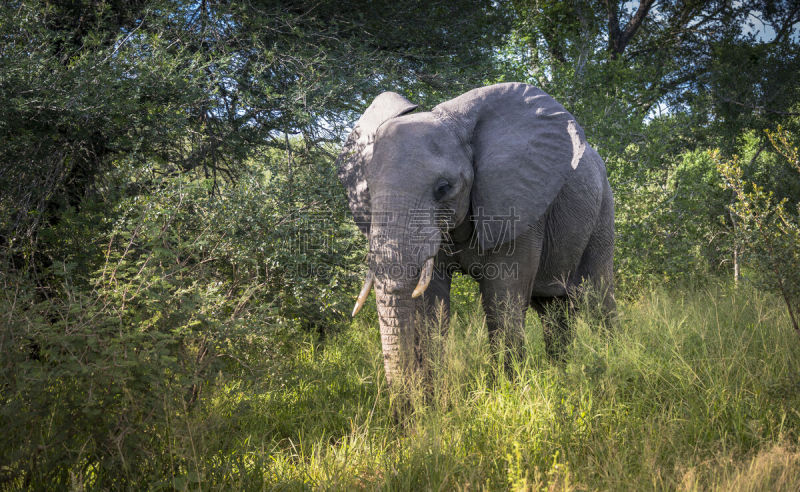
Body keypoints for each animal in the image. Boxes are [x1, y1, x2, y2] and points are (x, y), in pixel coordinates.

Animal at [334, 82, 616, 386]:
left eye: (444, 188)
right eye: (367, 190)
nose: (404, 398)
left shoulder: (517, 204)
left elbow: (502, 300)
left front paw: (507, 390)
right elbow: (431, 306)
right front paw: (433, 397)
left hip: (603, 208)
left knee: (598, 296)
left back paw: (611, 362)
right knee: (552, 307)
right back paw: (562, 373)